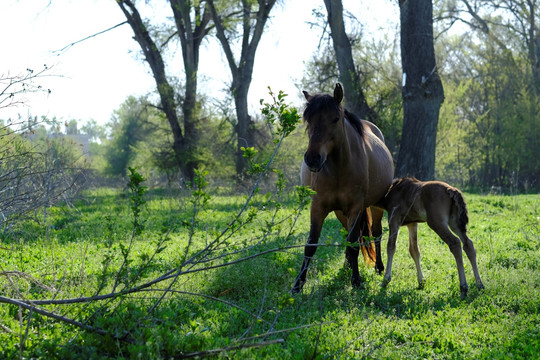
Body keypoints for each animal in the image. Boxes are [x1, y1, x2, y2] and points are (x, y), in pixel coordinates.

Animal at [292, 82, 392, 292]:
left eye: (335, 119)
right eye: (308, 119)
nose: (313, 159)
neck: (339, 168)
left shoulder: (355, 208)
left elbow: (354, 244)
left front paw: (356, 281)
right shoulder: (318, 207)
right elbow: (310, 245)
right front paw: (297, 285)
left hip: (374, 206)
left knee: (376, 233)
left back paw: (379, 267)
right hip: (340, 212)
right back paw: (346, 267)